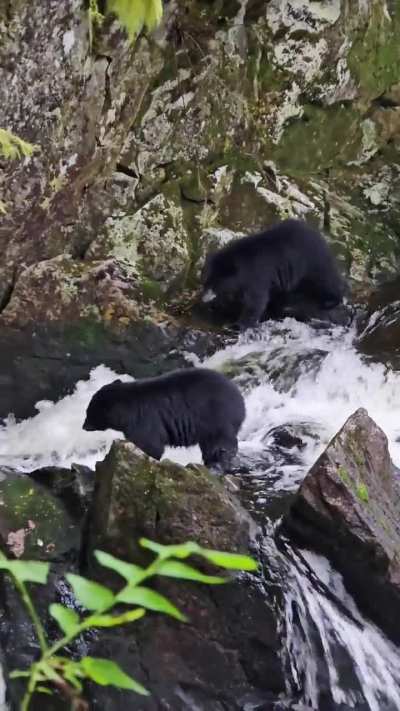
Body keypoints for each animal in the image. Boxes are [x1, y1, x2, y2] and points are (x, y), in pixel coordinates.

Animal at [83, 368, 246, 471]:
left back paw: (217, 465)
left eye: (89, 413)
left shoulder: (144, 422)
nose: (84, 426)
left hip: (217, 418)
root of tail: (240, 397)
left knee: (220, 444)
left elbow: (150, 445)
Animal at [202, 218, 345, 330]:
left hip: (313, 263)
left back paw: (332, 300)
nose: (203, 299)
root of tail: (320, 236)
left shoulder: (257, 274)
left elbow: (256, 301)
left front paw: (237, 324)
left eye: (216, 285)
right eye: (205, 281)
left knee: (326, 281)